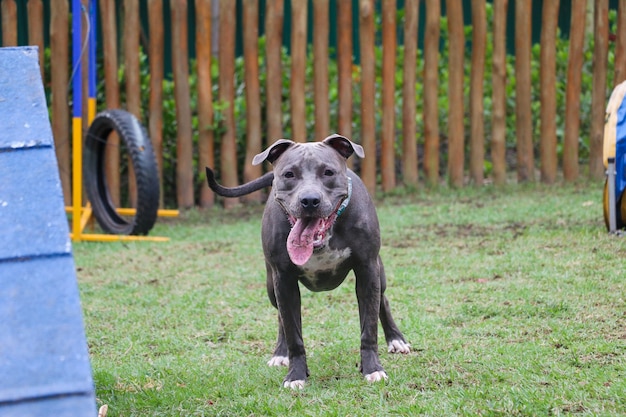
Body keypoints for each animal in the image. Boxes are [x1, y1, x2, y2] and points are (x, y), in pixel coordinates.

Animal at [206, 133, 410, 386]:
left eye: (328, 172)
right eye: (289, 174)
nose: (310, 200)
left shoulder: (367, 270)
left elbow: (368, 327)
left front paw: (372, 368)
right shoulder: (283, 281)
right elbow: (293, 332)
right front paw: (296, 375)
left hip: (378, 274)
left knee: (382, 301)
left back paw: (396, 339)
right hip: (271, 285)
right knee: (281, 318)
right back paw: (280, 353)